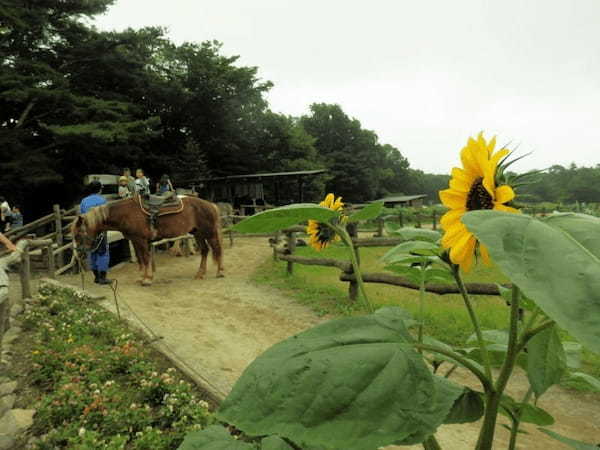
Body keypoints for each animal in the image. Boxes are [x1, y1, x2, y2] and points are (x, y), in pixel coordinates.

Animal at [71, 196, 225, 284]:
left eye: (79, 234)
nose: (79, 253)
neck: (126, 213)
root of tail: (211, 205)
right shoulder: (135, 241)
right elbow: (141, 259)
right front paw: (142, 277)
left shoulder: (141, 240)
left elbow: (145, 258)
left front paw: (147, 279)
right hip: (197, 233)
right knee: (204, 251)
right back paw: (200, 274)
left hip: (209, 233)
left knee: (217, 249)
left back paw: (220, 272)